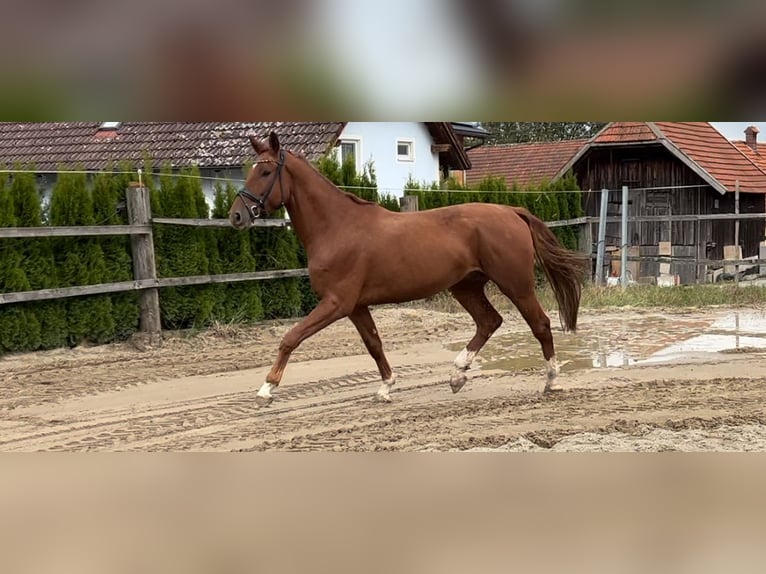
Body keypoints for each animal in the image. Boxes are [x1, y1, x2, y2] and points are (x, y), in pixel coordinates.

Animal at [228, 133, 588, 408]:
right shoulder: (356, 306)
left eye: (265, 172)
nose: (237, 216)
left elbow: (291, 337)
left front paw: (266, 389)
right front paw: (386, 387)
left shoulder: (336, 303)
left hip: (516, 283)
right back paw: (457, 375)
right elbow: (374, 344)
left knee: (540, 324)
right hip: (466, 286)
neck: (337, 227)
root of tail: (511, 211)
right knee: (489, 321)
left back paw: (551, 381)